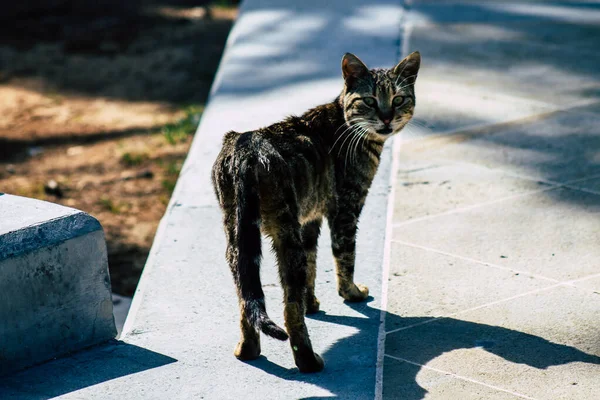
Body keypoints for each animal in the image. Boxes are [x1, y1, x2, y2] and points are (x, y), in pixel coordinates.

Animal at [213, 51, 420, 374]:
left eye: (398, 99)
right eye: (370, 100)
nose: (387, 118)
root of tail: (248, 146)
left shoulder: (309, 219)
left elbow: (312, 267)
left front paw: (312, 302)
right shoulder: (345, 210)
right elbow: (344, 259)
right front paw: (351, 294)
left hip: (237, 234)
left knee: (247, 299)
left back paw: (247, 350)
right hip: (285, 234)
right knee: (289, 308)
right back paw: (308, 361)